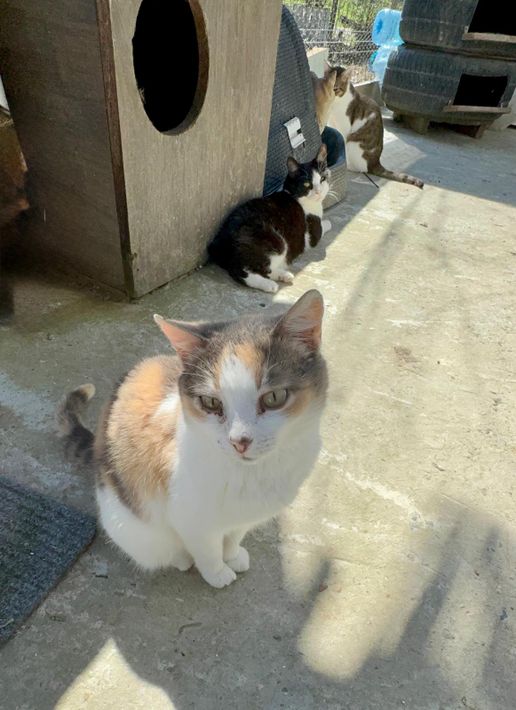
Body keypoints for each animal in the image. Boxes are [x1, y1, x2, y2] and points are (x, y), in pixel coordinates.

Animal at [57, 290, 328, 588]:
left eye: (275, 397)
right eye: (210, 403)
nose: (239, 441)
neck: (253, 474)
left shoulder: (244, 517)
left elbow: (234, 536)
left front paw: (233, 555)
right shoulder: (189, 519)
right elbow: (206, 549)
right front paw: (217, 572)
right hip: (129, 525)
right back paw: (180, 558)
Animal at [208, 146, 332, 293]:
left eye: (323, 178)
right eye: (307, 184)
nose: (319, 192)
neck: (294, 195)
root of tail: (220, 242)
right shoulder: (313, 234)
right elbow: (323, 226)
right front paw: (328, 222)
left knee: (265, 268)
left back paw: (284, 275)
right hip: (275, 241)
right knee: (241, 270)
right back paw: (268, 285)